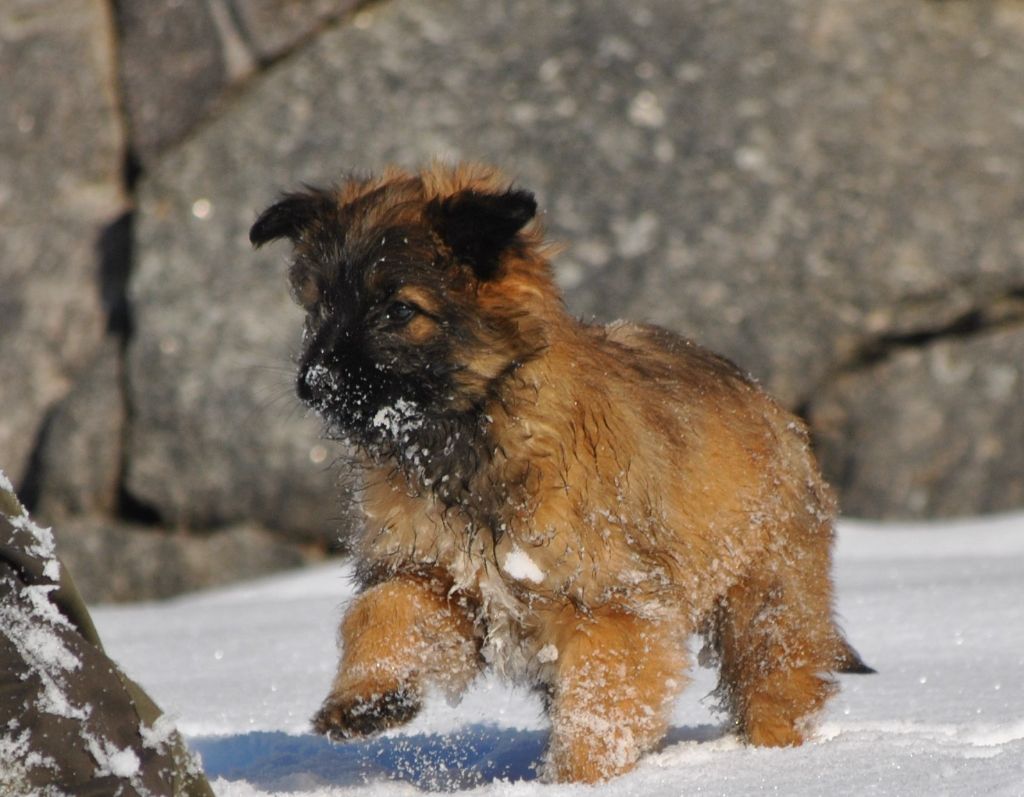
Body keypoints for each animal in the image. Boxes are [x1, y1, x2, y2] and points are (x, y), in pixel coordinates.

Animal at [251, 162, 868, 782]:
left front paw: (577, 779)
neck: (474, 436)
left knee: (777, 676)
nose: (313, 383)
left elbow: (599, 707)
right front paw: (366, 697)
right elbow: (382, 613)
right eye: (317, 305)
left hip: (767, 593)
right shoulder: (434, 575)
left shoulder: (610, 606)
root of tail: (775, 410)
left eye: (399, 310)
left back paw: (772, 755)